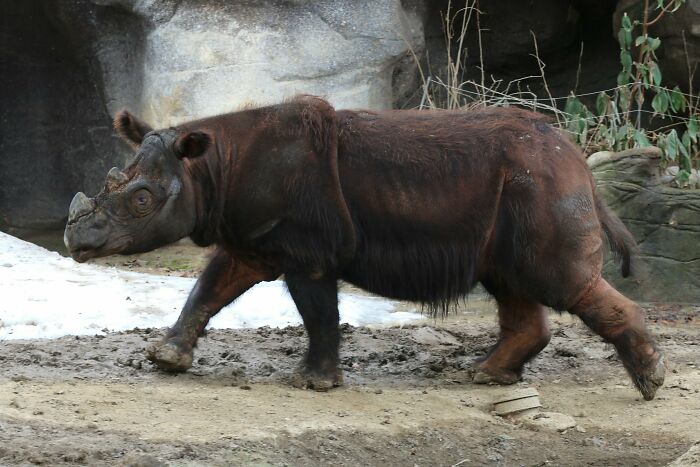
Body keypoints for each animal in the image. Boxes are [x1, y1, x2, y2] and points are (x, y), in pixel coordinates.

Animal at [64, 96, 665, 399]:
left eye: (142, 201)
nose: (75, 241)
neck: (212, 165)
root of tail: (580, 161)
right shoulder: (253, 238)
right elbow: (208, 289)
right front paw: (165, 360)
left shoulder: (306, 249)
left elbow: (318, 312)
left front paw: (312, 383)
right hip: (525, 185)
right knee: (511, 281)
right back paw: (485, 376)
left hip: (540, 181)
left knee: (557, 280)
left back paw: (650, 383)